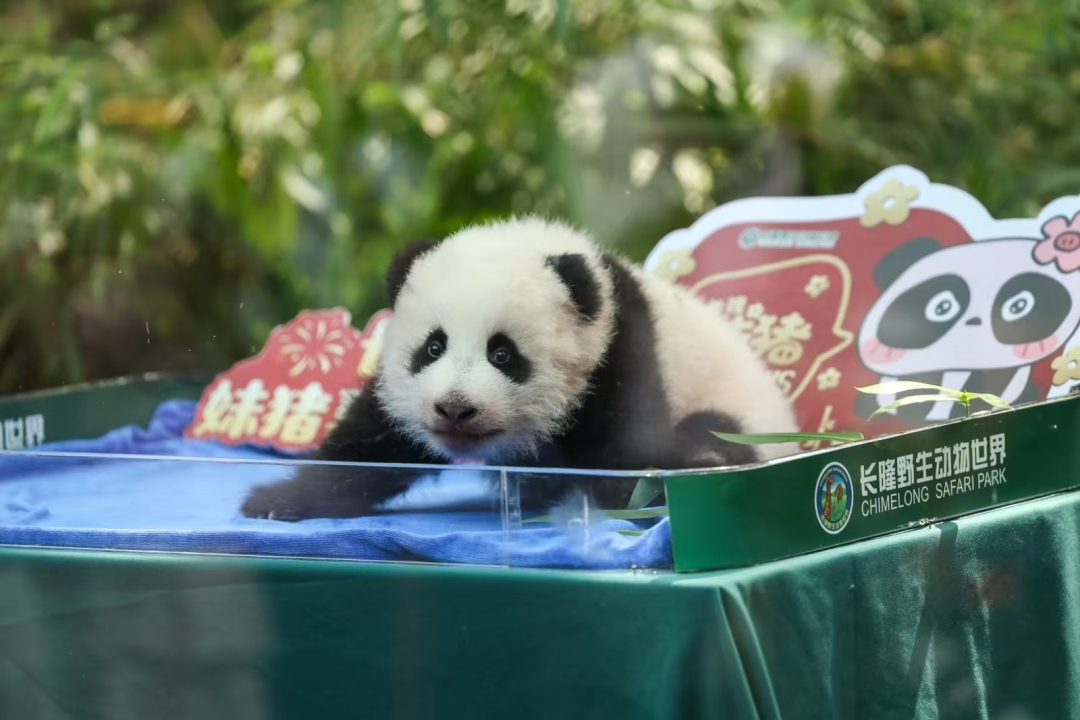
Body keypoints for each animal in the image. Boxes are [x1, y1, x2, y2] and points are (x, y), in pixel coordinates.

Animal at [241, 217, 798, 521]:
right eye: (433, 347)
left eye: (502, 354)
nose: (455, 409)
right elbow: (372, 441)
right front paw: (277, 500)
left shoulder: (619, 350)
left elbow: (628, 450)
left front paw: (657, 481)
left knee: (722, 432)